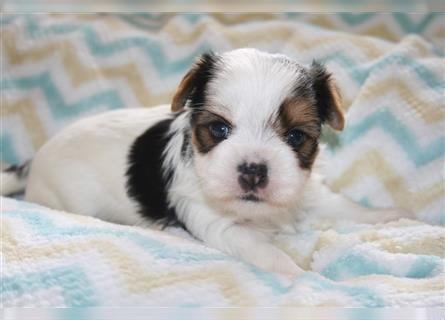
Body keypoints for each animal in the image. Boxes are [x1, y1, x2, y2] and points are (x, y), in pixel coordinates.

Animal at [1, 48, 406, 276]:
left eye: (295, 137)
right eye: (219, 129)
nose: (253, 170)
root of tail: (34, 160)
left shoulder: (302, 190)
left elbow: (338, 204)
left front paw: (385, 215)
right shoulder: (214, 221)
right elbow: (262, 250)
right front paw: (303, 275)